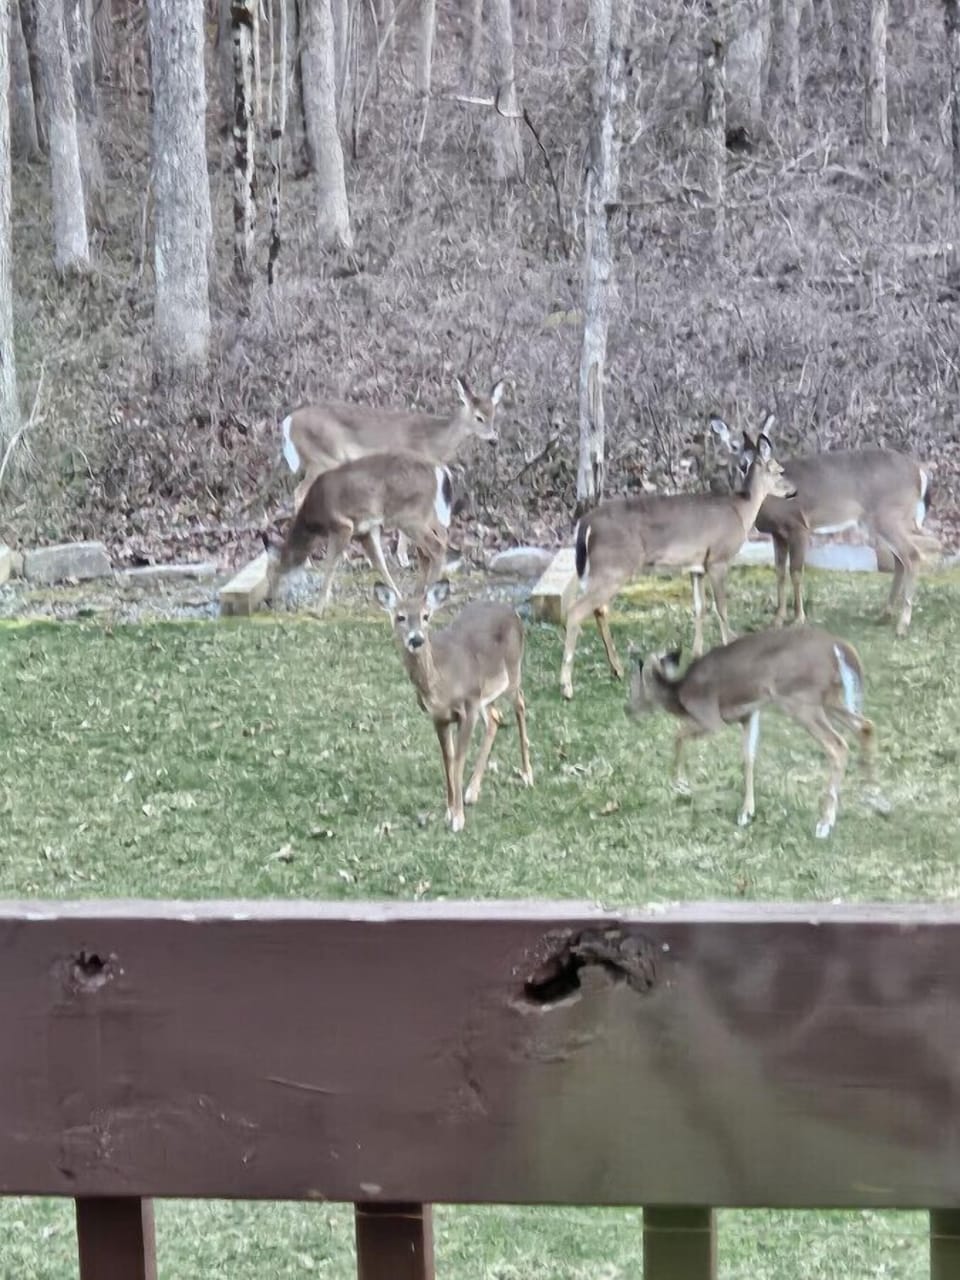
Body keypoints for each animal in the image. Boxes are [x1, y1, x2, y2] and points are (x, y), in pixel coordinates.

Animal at [263, 451, 453, 612]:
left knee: (436, 546)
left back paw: (429, 597)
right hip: (423, 515)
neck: (314, 518)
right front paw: (397, 598)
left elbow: (330, 564)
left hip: (409, 516)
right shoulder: (365, 531)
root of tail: (439, 471)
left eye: (274, 573)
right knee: (435, 543)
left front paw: (318, 609)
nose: (268, 600)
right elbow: (379, 563)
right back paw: (420, 594)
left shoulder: (342, 525)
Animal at [374, 579, 534, 833]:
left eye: (426, 616)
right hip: (484, 693)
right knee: (495, 717)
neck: (441, 685)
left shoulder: (467, 708)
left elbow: (458, 761)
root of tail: (512, 612)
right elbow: (447, 760)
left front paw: (458, 818)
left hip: (512, 670)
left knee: (519, 704)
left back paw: (527, 774)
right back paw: (472, 792)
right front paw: (450, 810)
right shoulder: (439, 717)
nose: (416, 639)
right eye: (400, 617)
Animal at [559, 420, 796, 700]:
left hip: (605, 570)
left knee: (598, 609)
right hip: (613, 567)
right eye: (780, 470)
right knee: (577, 610)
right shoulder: (718, 559)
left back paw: (616, 670)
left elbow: (699, 607)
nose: (794, 490)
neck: (740, 511)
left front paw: (696, 653)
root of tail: (586, 523)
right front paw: (730, 646)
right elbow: (721, 607)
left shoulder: (697, 567)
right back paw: (567, 687)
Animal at [625, 627, 876, 839]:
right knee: (866, 726)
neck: (680, 695)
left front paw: (679, 783)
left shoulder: (711, 718)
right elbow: (748, 758)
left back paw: (825, 823)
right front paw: (746, 812)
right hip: (829, 698)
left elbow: (678, 735)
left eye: (634, 683)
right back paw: (872, 796)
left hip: (800, 700)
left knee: (838, 745)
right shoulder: (748, 714)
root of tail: (840, 647)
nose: (628, 709)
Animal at [713, 417, 939, 637]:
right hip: (884, 522)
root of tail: (919, 471)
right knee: (900, 560)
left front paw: (798, 619)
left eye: (761, 443)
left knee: (912, 555)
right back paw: (885, 615)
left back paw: (902, 625)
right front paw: (777, 620)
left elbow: (796, 572)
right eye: (733, 445)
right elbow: (780, 573)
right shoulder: (778, 534)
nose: (745, 465)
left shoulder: (798, 526)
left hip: (889, 517)